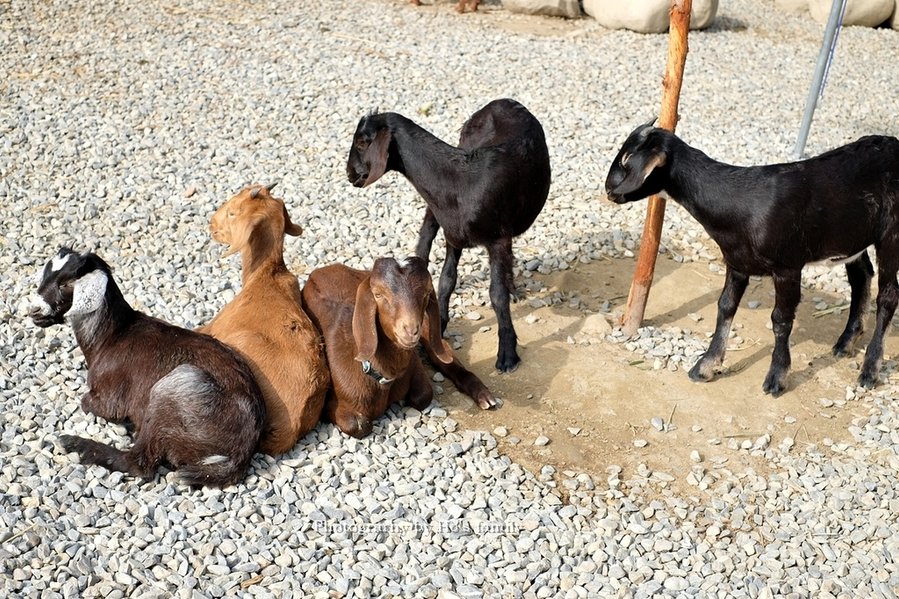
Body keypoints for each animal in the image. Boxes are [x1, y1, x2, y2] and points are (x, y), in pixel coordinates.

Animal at [29, 247, 268, 488]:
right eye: (45, 275)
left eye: (66, 284)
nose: (35, 311)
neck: (112, 336)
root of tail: (238, 456)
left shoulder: (109, 398)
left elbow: (87, 402)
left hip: (176, 387)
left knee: (140, 462)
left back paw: (75, 445)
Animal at [302, 255, 500, 438]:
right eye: (378, 294)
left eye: (426, 294)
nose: (411, 330)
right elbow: (359, 425)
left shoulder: (415, 364)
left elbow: (423, 396)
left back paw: (484, 396)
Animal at [604, 120, 899, 396]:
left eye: (626, 159)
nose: (608, 190)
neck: (740, 204)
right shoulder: (736, 262)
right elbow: (725, 307)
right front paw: (705, 365)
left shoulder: (788, 266)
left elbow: (780, 319)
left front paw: (777, 376)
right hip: (851, 236)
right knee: (862, 276)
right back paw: (846, 341)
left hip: (891, 233)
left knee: (888, 295)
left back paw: (870, 370)